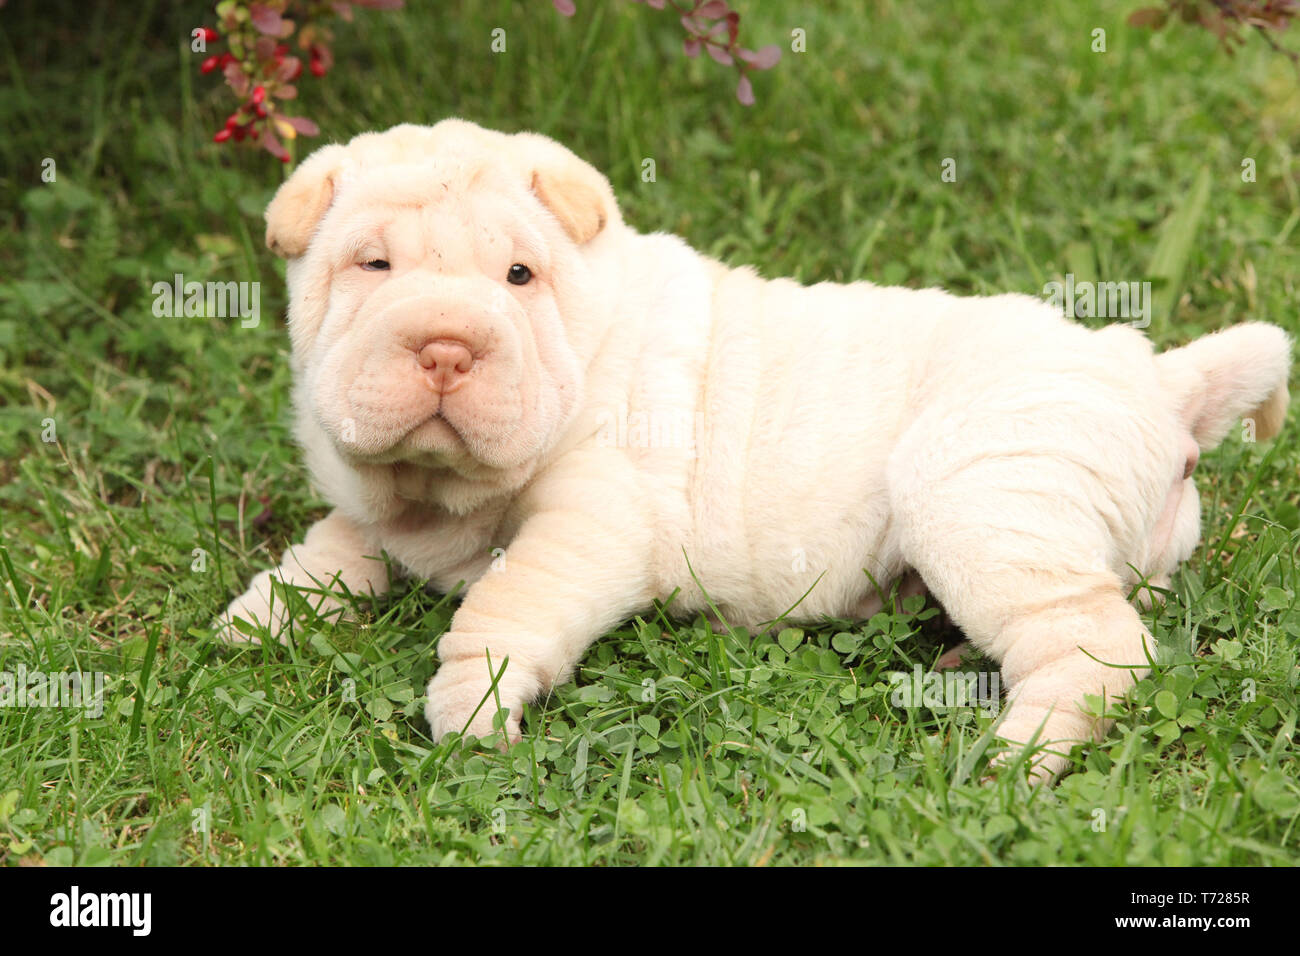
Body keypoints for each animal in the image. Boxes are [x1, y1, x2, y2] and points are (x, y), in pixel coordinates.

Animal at [220, 115, 1289, 780]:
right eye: (373, 265)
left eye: (519, 275)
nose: (445, 345)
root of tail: (1160, 379)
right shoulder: (372, 502)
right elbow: (332, 549)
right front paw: (256, 618)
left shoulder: (596, 520)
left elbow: (508, 602)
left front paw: (472, 709)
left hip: (981, 495)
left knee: (1099, 646)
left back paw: (1015, 753)